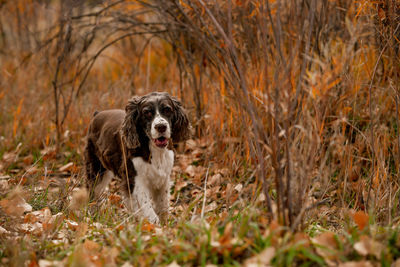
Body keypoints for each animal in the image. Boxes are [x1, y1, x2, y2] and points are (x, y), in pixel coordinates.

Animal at [83, 92, 190, 224]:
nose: (161, 126)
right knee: (92, 193)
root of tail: (97, 114)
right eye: (147, 112)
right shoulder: (135, 179)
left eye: (167, 109)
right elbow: (148, 210)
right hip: (96, 171)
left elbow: (163, 206)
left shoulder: (163, 179)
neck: (154, 150)